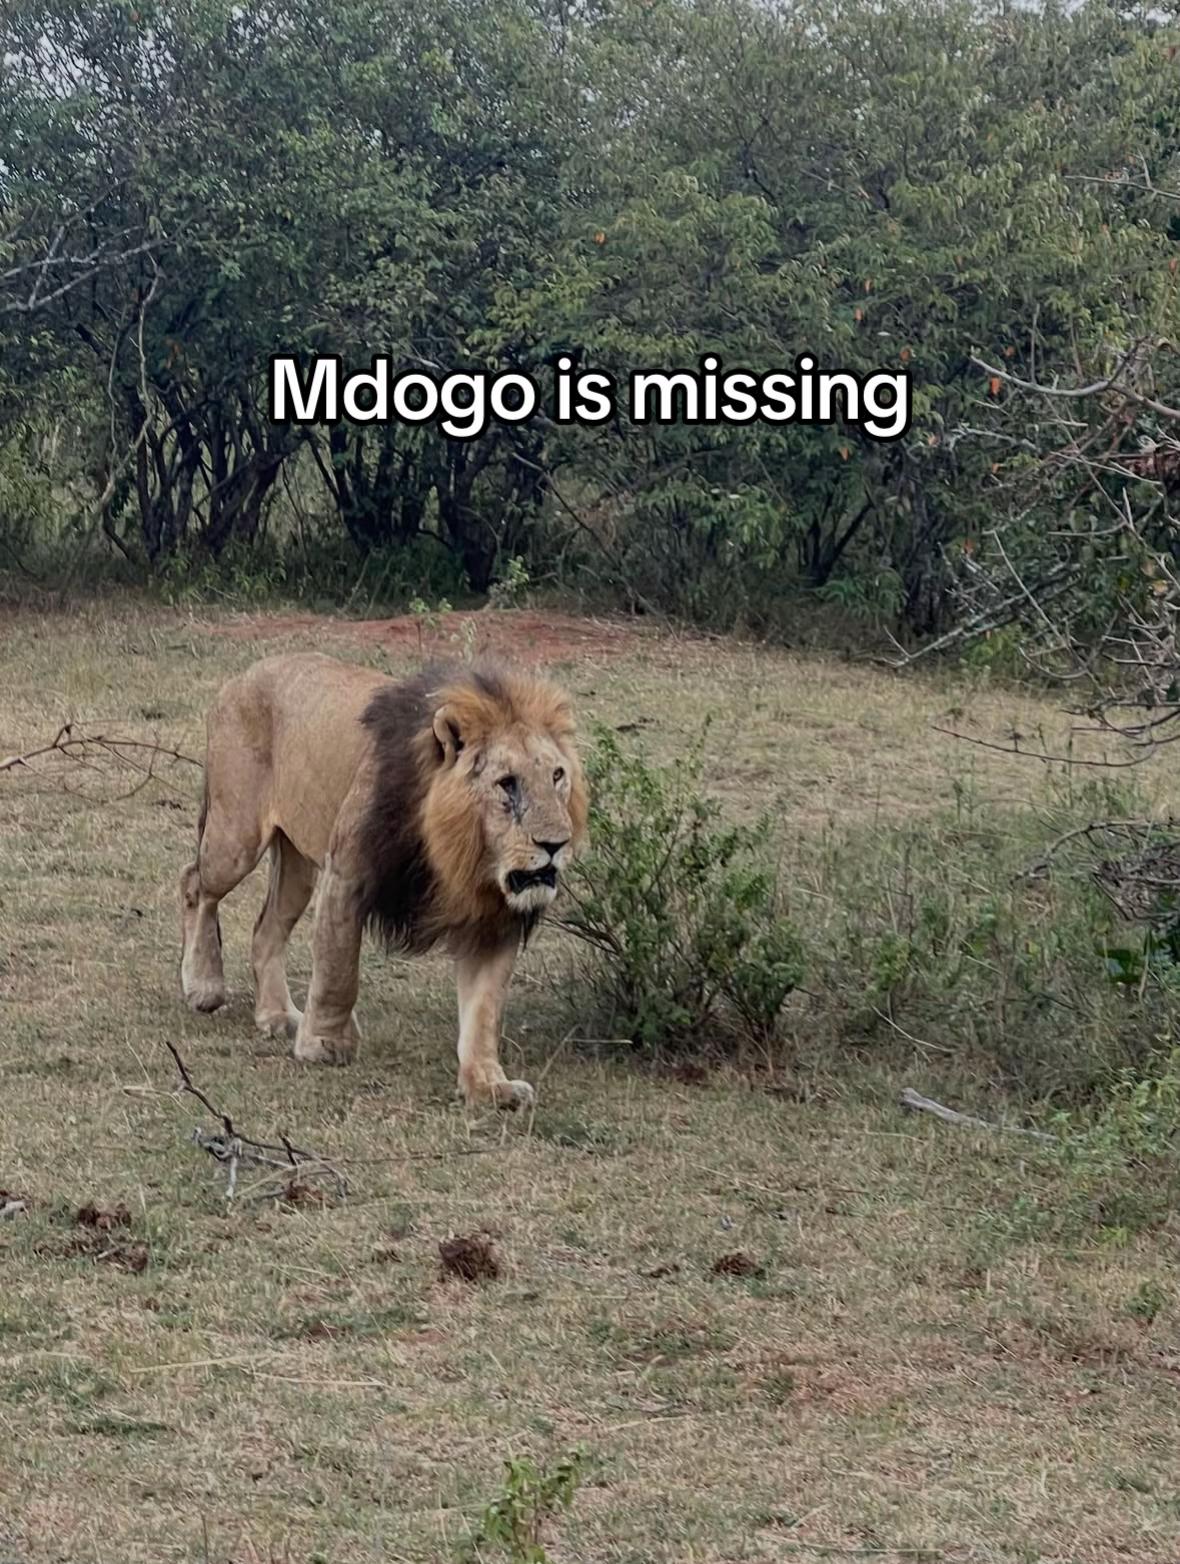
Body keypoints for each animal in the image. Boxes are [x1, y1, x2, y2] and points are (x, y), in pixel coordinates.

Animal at [179, 653, 587, 1108]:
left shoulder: (494, 917)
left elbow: (484, 1009)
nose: (556, 843)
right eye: (507, 783)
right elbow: (339, 970)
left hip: (297, 863)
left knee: (265, 928)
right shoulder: (347, 874)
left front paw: (488, 1083)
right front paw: (325, 1044)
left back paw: (277, 1015)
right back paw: (204, 986)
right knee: (194, 883)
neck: (460, 854)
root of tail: (243, 676)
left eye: (557, 776)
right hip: (236, 838)